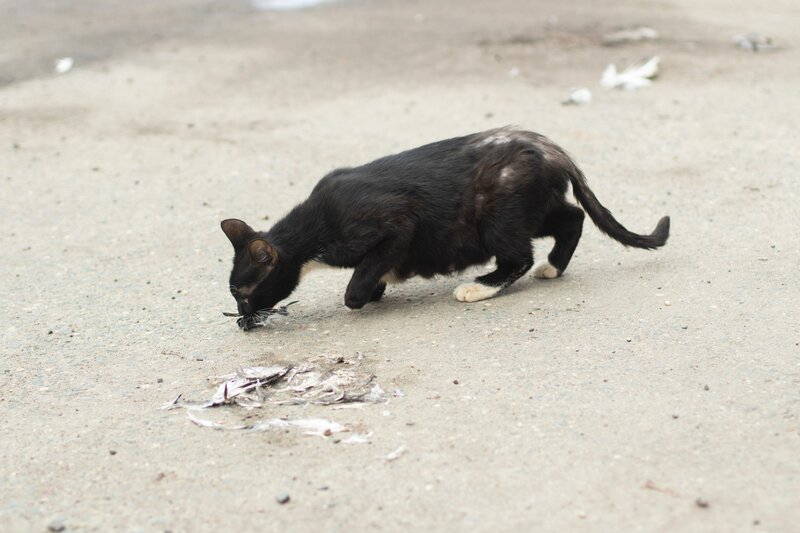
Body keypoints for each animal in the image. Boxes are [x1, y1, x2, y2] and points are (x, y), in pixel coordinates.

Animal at [220, 127, 668, 318]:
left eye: (241, 292)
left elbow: (360, 279)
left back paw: (481, 286)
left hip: (497, 214)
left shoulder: (397, 223)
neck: (317, 224)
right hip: (535, 209)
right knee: (572, 218)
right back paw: (554, 267)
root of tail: (550, 148)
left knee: (519, 256)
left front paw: (365, 293)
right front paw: (378, 288)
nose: (241, 319)